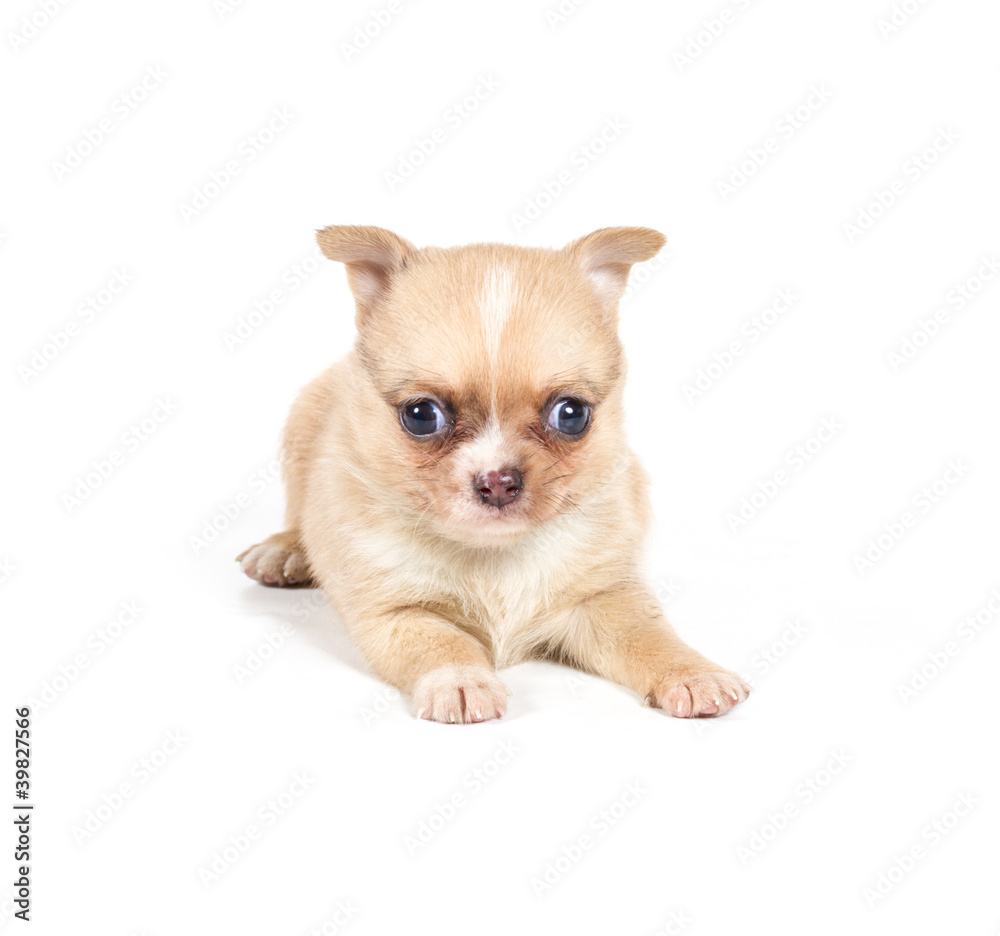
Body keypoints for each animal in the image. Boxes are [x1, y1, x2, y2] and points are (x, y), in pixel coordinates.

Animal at [236, 225, 752, 724]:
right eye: (421, 415)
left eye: (572, 414)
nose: (498, 481)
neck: (495, 555)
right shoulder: (397, 613)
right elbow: (443, 644)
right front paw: (462, 681)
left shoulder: (605, 599)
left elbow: (650, 636)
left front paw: (692, 674)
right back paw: (283, 551)